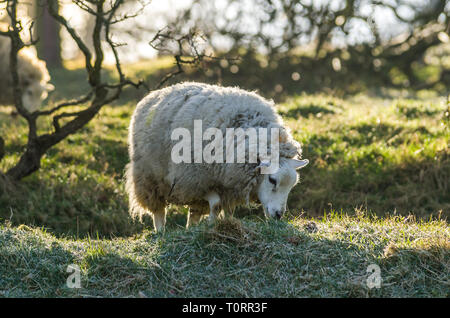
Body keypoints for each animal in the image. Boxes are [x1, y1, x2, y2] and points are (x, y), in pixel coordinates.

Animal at [126, 82, 310, 231]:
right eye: (272, 180)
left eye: (292, 185)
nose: (279, 215)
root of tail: (156, 92)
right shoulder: (199, 180)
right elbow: (215, 204)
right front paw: (213, 226)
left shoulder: (229, 185)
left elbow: (227, 209)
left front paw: (229, 223)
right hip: (148, 179)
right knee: (158, 210)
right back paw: (161, 232)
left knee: (194, 212)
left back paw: (190, 229)